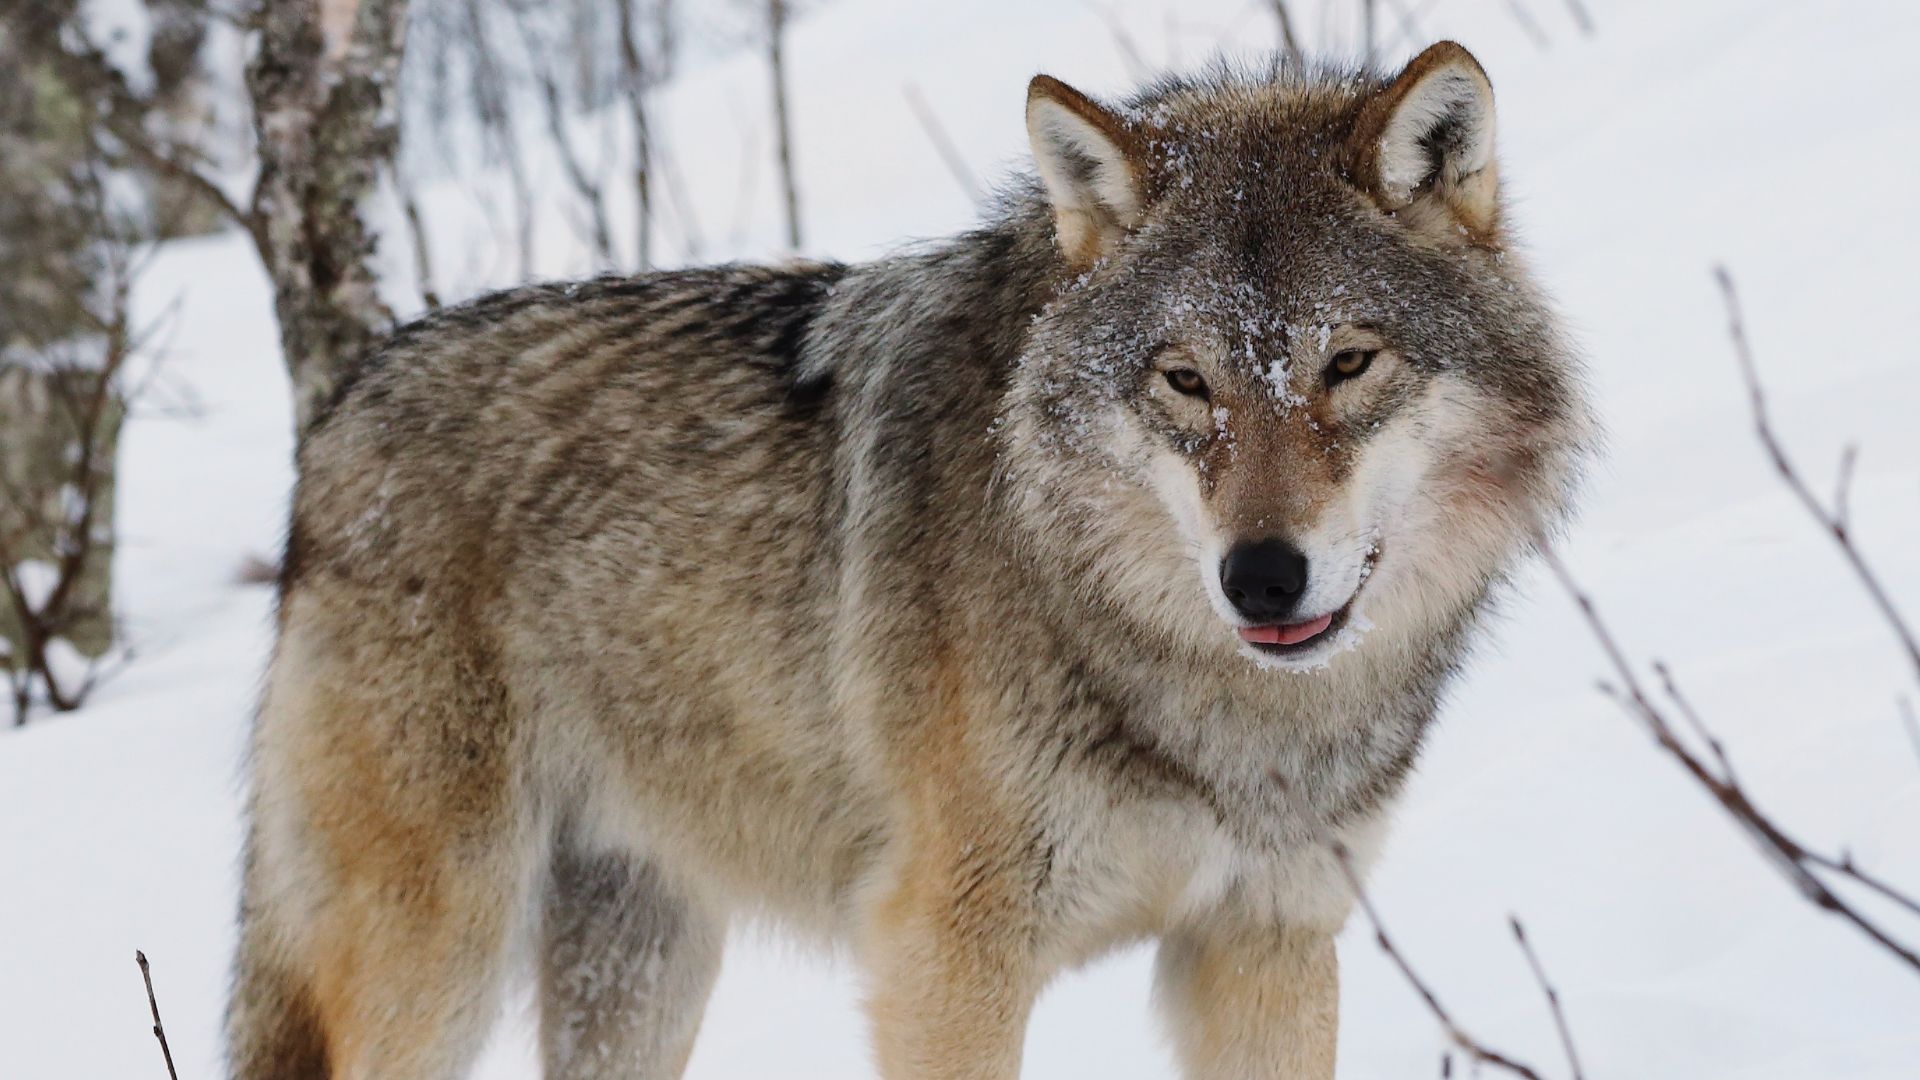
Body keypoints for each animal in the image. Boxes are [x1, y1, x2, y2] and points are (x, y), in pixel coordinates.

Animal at [227, 40, 1591, 1080]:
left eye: (1349, 363)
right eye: (1186, 381)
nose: (1261, 577)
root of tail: (343, 407)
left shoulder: (1267, 941)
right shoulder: (945, 954)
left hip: (642, 959)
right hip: (438, 956)